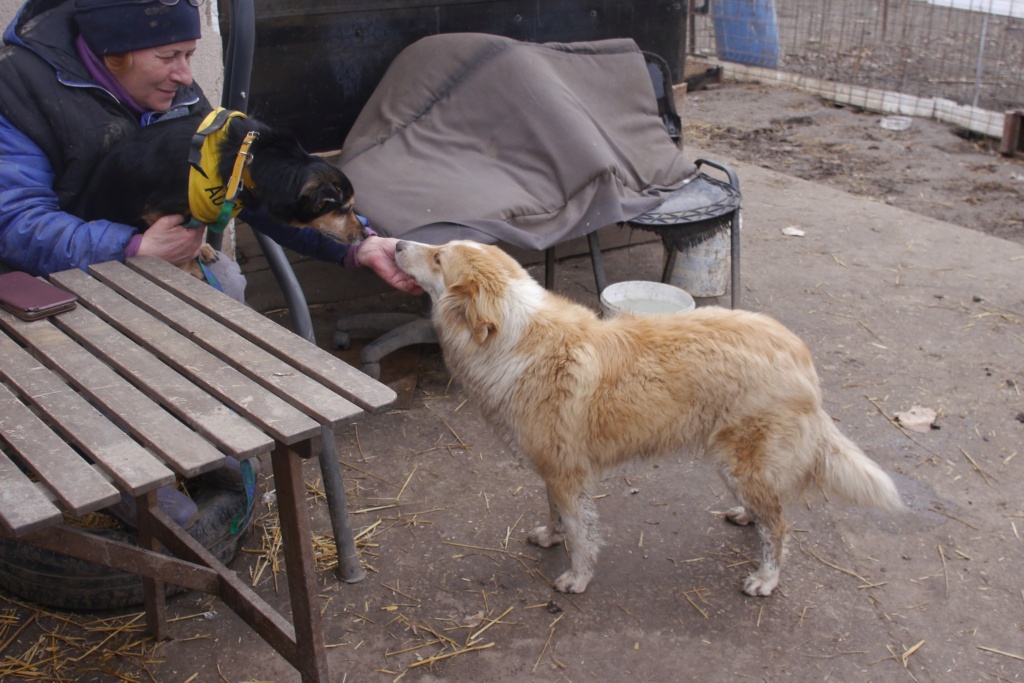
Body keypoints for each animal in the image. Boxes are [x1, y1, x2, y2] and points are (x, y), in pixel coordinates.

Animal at [80, 108, 368, 266]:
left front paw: (201, 249)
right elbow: (179, 248)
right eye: (344, 210)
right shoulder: (153, 211)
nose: (366, 235)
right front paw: (191, 264)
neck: (247, 158)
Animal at [395, 242, 901, 593]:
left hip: (745, 461)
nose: (397, 244)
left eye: (438, 257)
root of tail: (800, 355)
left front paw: (577, 579)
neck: (514, 339)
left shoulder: (567, 473)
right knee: (767, 510)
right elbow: (556, 515)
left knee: (779, 527)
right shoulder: (553, 471)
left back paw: (766, 579)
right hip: (735, 463)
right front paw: (550, 539)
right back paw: (745, 515)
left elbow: (581, 533)